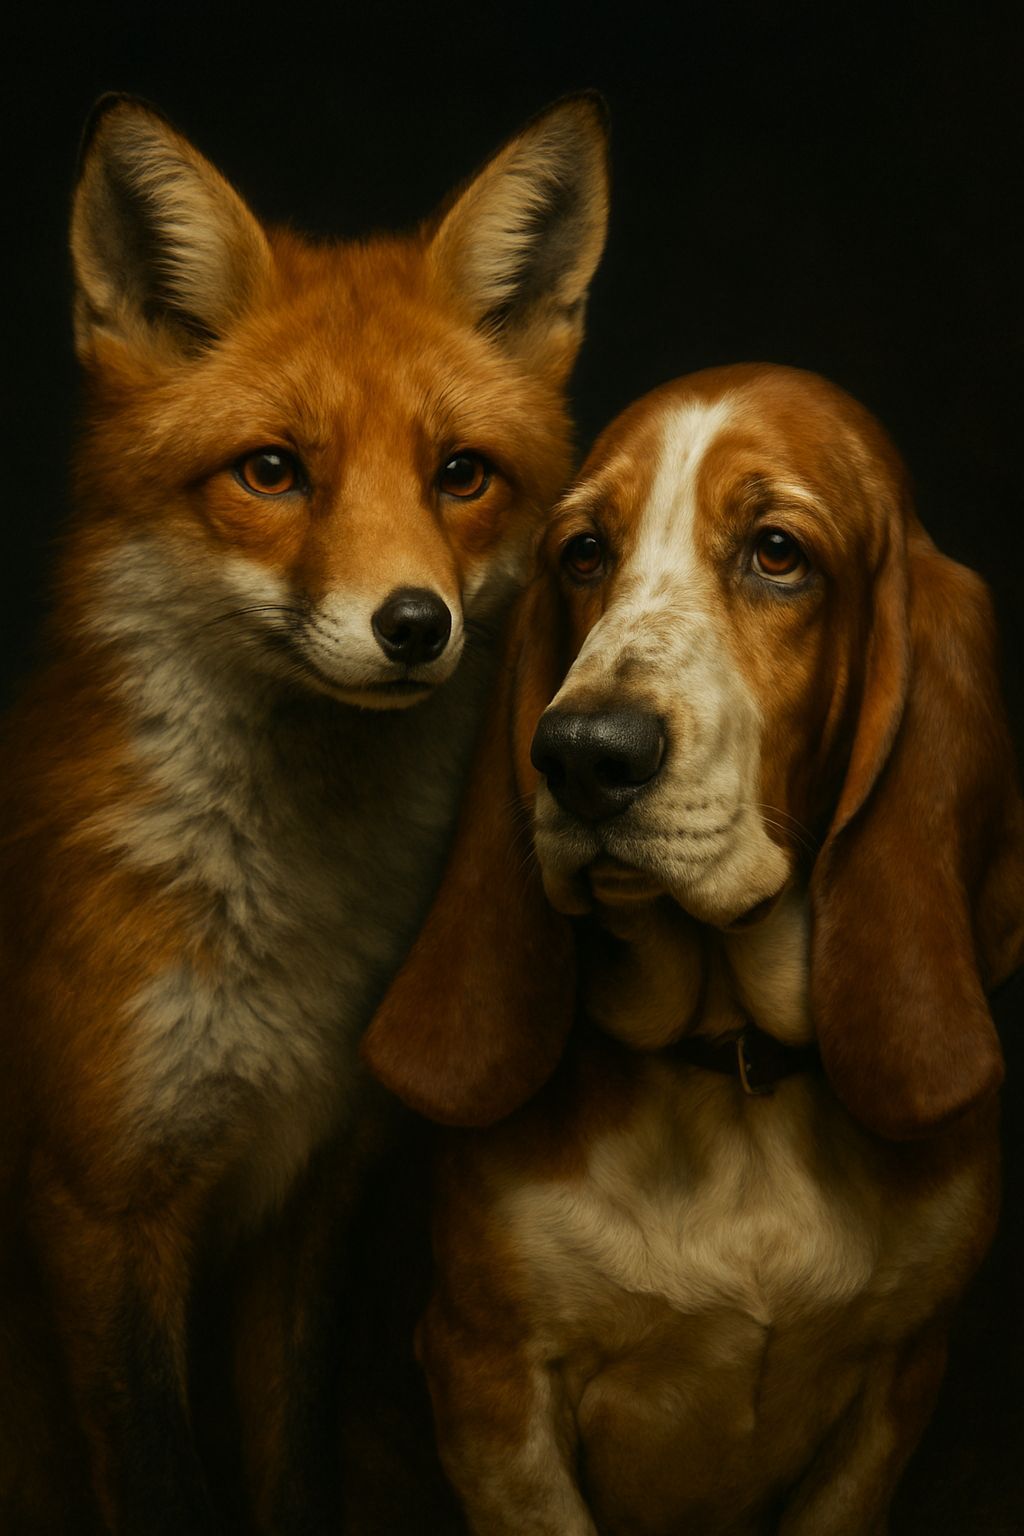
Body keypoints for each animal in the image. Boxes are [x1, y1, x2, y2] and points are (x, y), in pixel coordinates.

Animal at [0, 92, 609, 1533]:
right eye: (272, 472)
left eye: (461, 475)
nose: (413, 625)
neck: (277, 940)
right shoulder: (94, 1205)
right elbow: (161, 1485)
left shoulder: (308, 1195)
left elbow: (291, 1468)